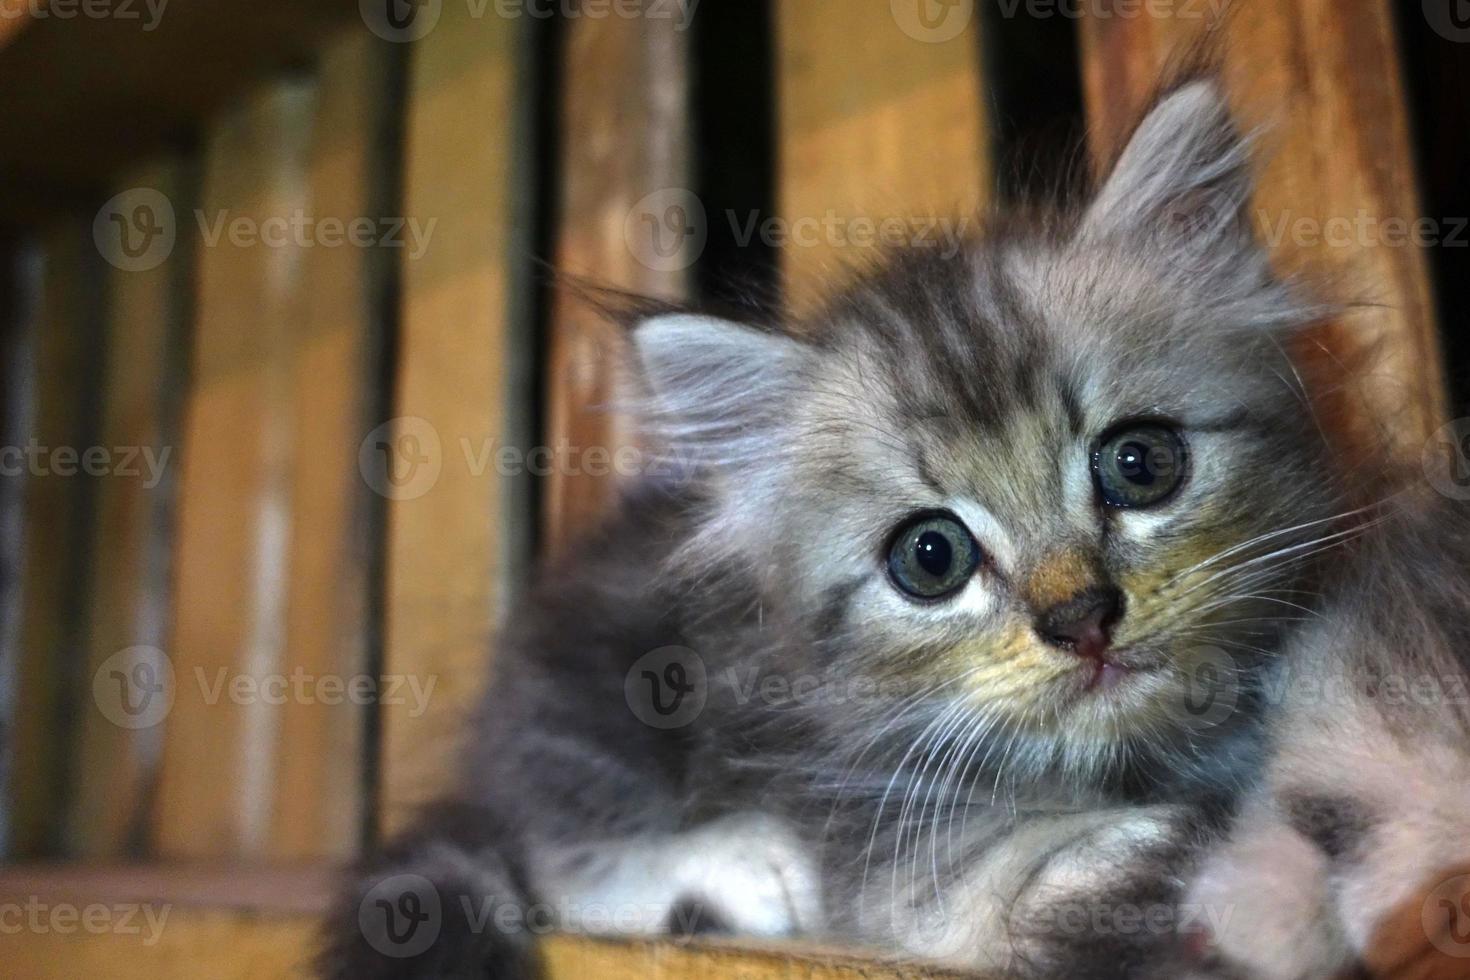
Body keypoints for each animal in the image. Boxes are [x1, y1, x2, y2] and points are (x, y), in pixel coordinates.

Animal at [321, 78, 1470, 980]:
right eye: (932, 557)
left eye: (1140, 465)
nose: (1083, 618)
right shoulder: (877, 824)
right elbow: (997, 877)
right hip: (589, 695)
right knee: (551, 840)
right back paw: (740, 869)